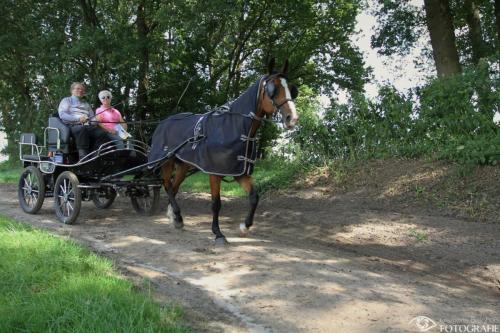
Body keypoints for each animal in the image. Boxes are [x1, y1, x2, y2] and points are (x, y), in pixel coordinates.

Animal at [158, 58, 296, 243]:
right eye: (272, 89)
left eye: (292, 89)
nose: (292, 118)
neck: (234, 127)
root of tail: (164, 122)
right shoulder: (214, 172)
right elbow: (216, 204)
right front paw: (218, 233)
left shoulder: (239, 171)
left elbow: (254, 197)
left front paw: (244, 227)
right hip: (166, 162)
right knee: (167, 186)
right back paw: (177, 217)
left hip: (183, 165)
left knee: (173, 188)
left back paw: (174, 216)